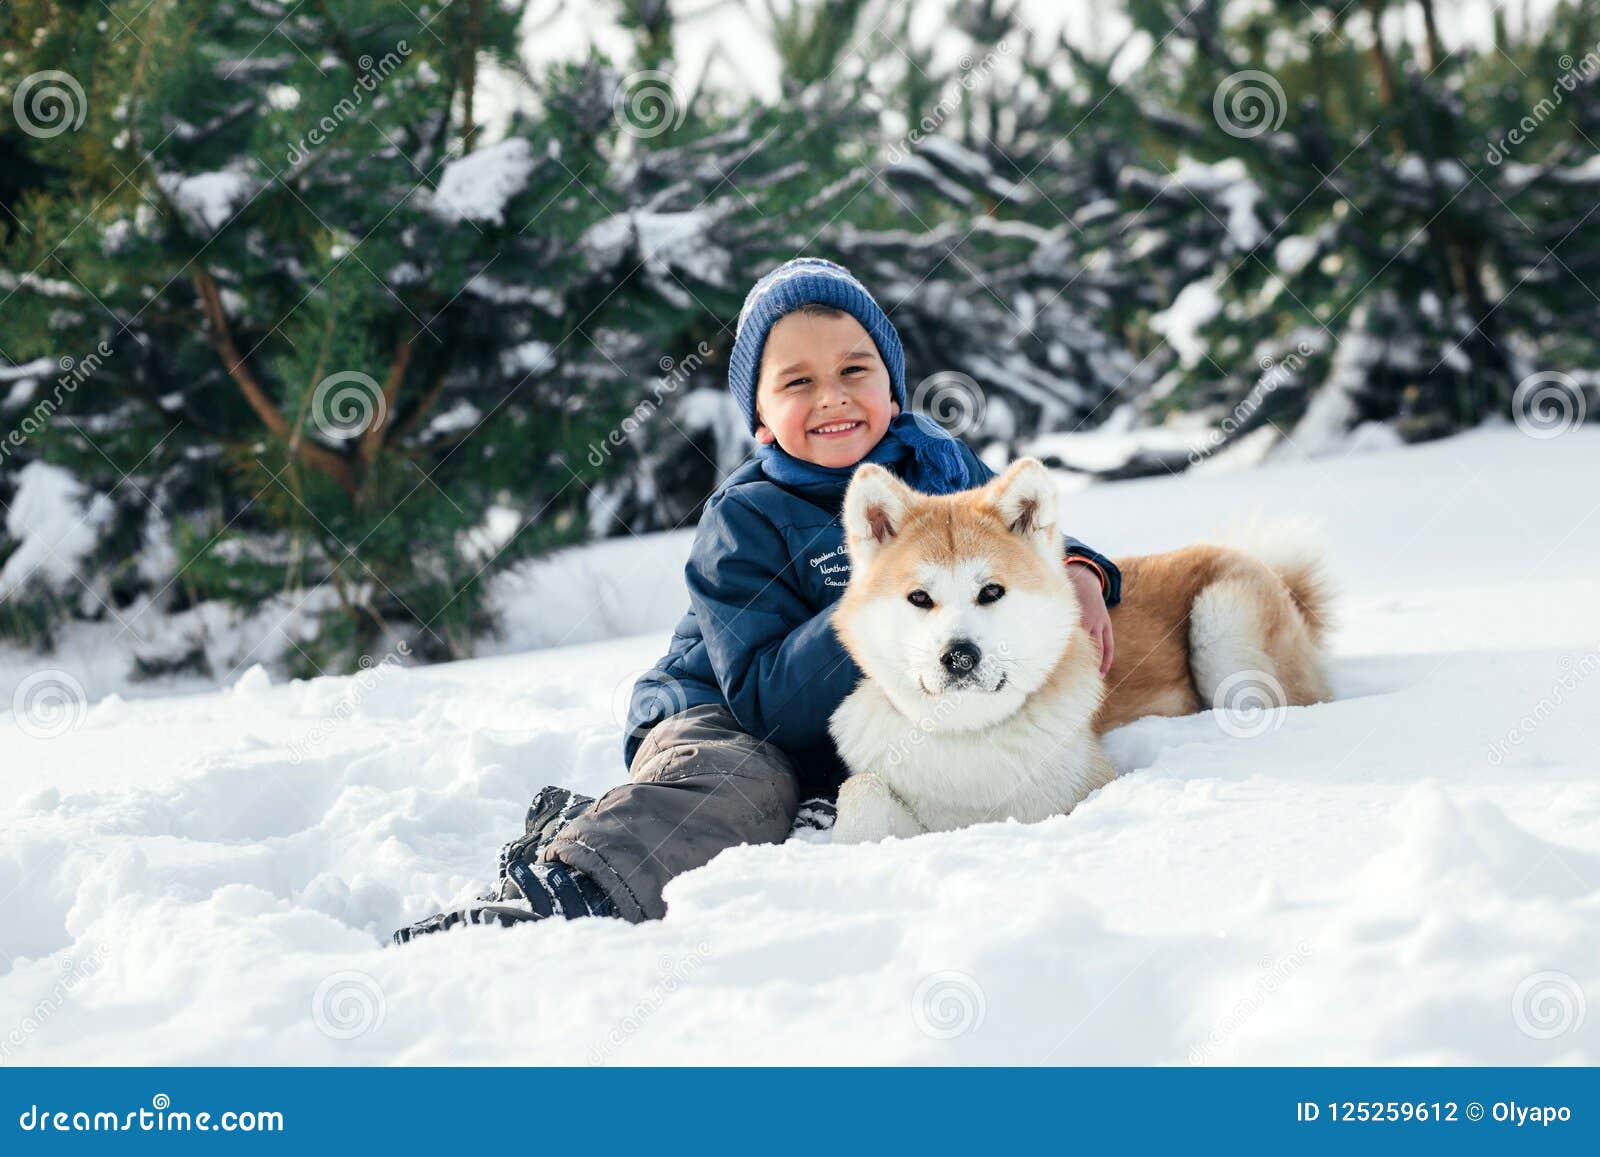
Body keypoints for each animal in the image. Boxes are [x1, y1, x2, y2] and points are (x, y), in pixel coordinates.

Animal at [819, 457, 1331, 844]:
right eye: (919, 598)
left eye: (991, 591)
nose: (960, 656)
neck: (972, 733)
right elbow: (861, 790)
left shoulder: (1085, 788)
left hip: (1222, 631)